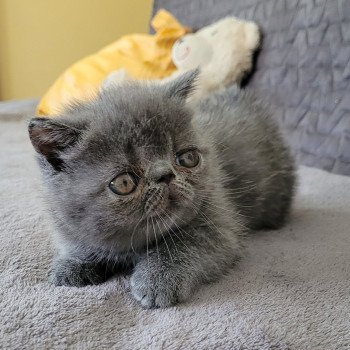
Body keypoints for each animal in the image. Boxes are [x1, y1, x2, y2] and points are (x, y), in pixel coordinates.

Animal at [28, 69, 296, 308]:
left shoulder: (221, 221)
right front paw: (73, 263)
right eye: (124, 183)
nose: (164, 174)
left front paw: (158, 279)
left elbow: (187, 244)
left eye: (188, 158)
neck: (133, 247)